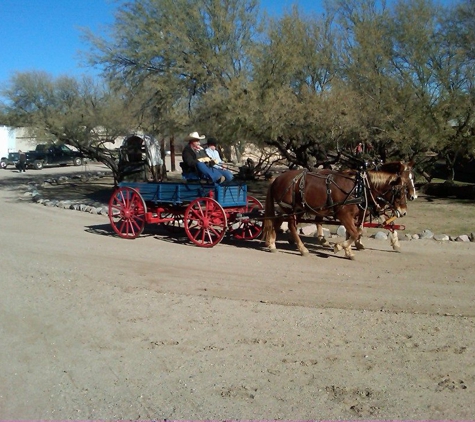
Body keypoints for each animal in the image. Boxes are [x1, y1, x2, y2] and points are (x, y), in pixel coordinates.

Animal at [264, 164, 412, 258]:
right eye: (399, 193)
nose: (404, 211)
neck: (360, 188)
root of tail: (277, 178)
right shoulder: (344, 214)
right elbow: (354, 233)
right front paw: (341, 247)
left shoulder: (357, 215)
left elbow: (355, 232)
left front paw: (348, 250)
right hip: (290, 208)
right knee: (291, 226)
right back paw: (302, 248)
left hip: (294, 208)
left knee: (278, 222)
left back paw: (272, 243)